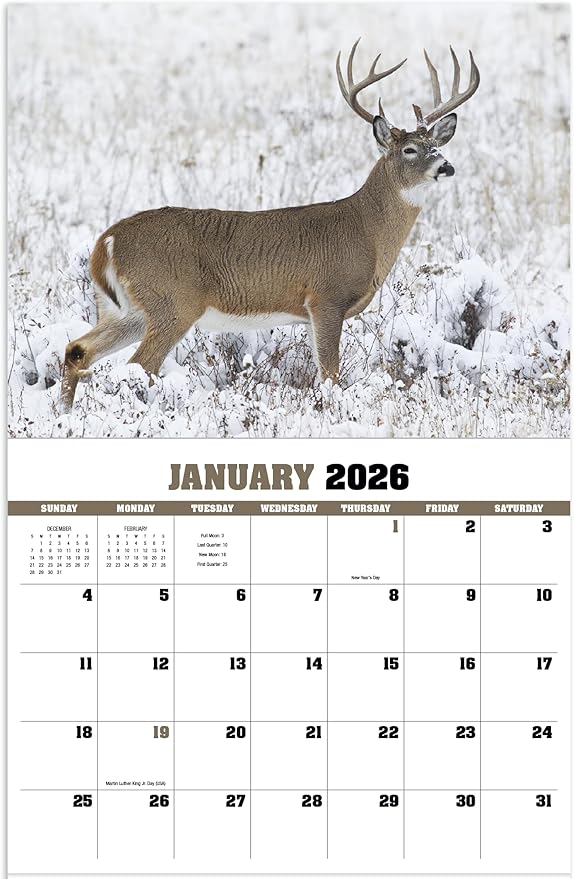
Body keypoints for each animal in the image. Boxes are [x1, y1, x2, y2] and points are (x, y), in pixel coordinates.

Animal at [61, 39, 479, 411]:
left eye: (437, 145)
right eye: (409, 149)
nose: (446, 166)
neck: (366, 230)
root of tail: (107, 241)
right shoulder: (326, 296)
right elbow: (330, 375)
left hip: (124, 309)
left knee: (77, 349)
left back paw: (64, 413)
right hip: (172, 302)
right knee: (138, 365)